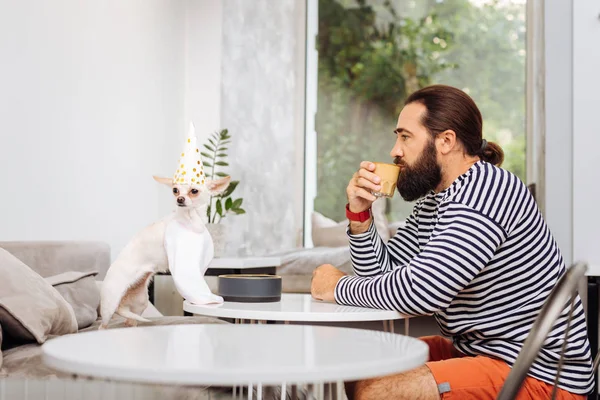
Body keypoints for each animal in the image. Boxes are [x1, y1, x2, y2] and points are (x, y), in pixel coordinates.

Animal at [98, 175, 230, 328]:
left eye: (194, 191)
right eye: (175, 190)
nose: (180, 199)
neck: (191, 217)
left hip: (140, 303)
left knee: (130, 321)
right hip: (109, 306)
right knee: (102, 326)